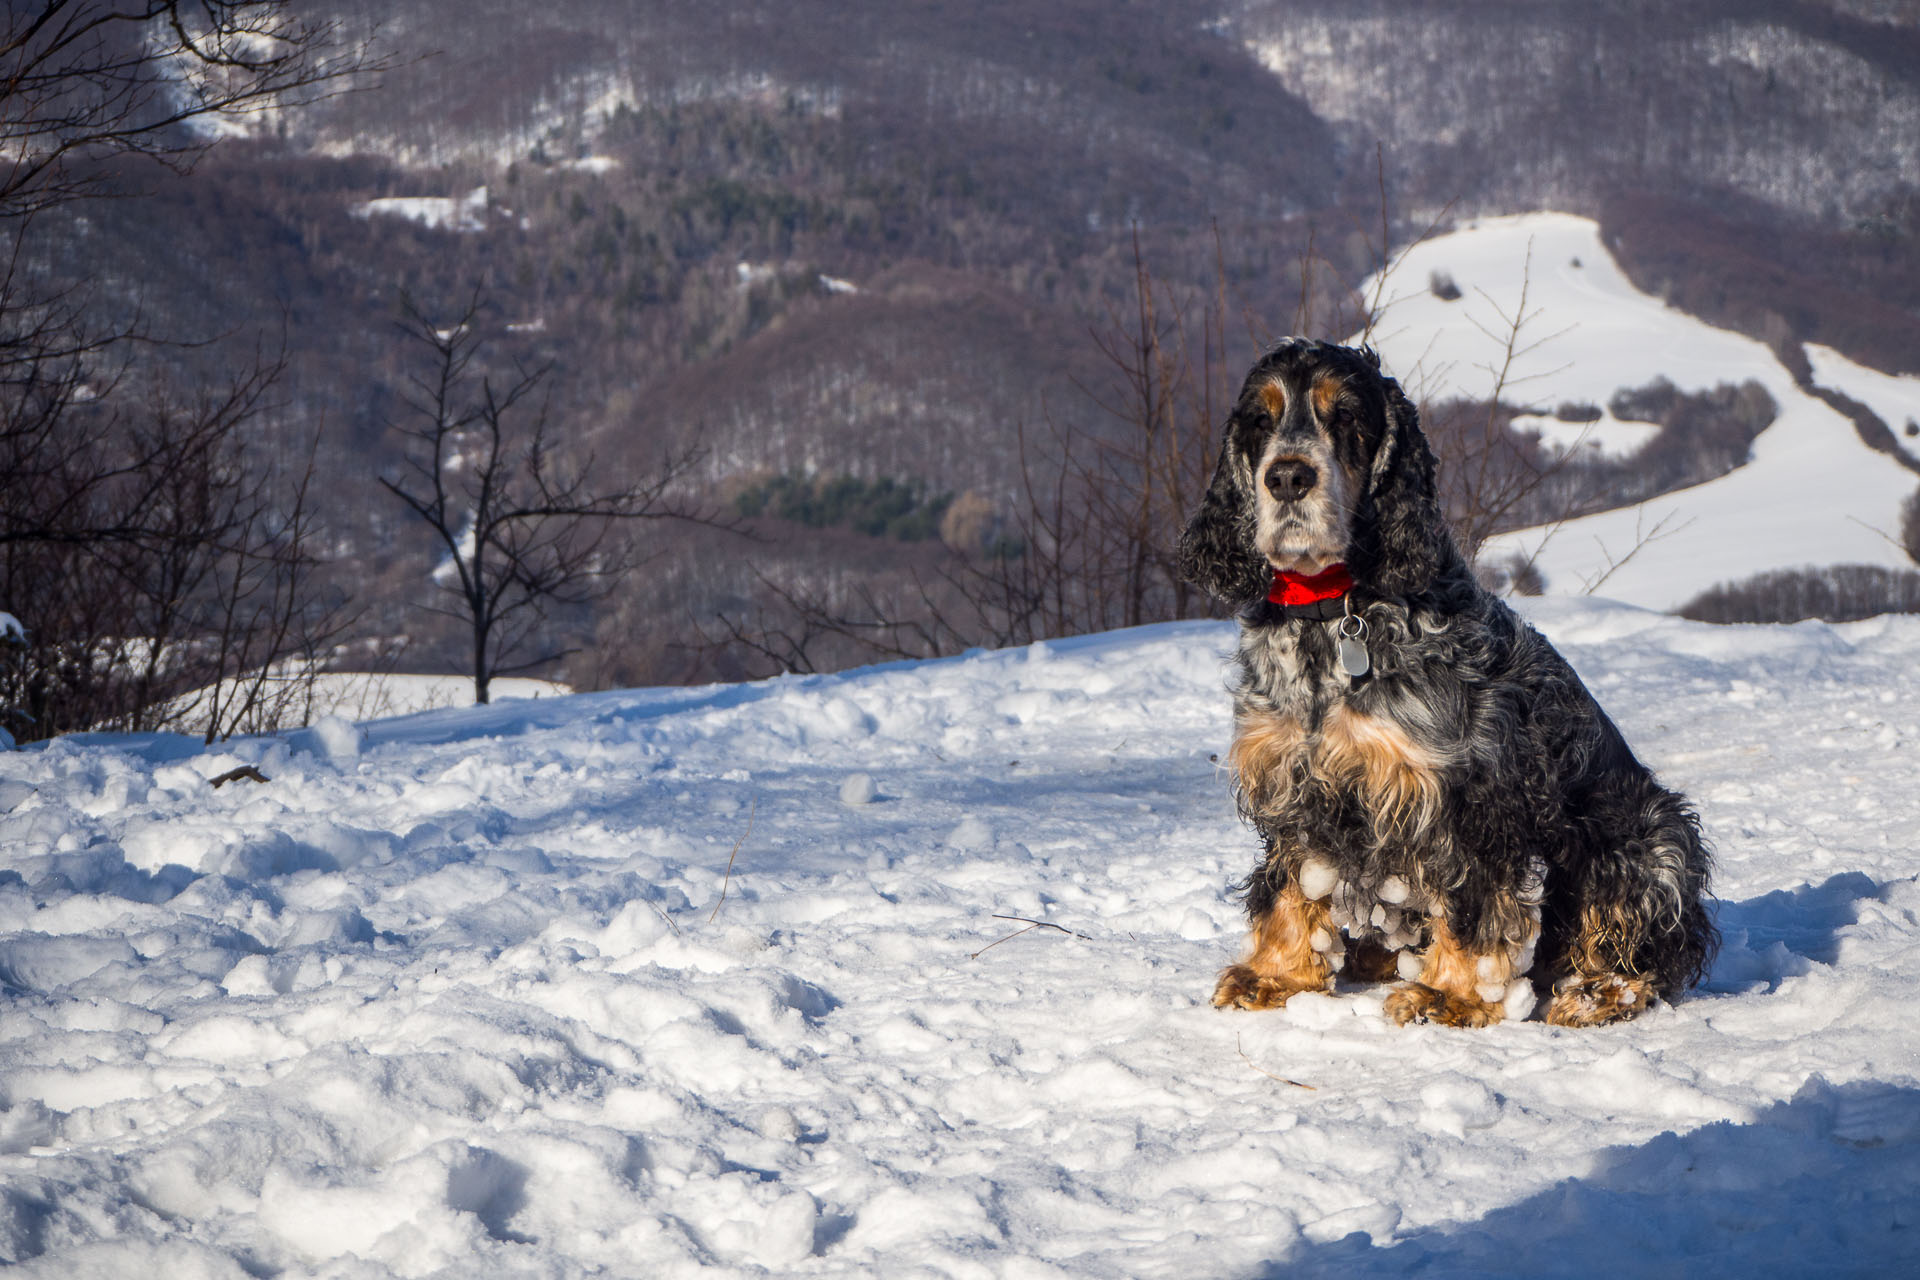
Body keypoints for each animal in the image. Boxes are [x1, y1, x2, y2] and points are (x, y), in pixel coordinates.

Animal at [1175, 339, 1720, 1028]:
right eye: (1259, 420)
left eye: (1346, 416)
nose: (1288, 476)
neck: (1331, 616)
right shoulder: (1294, 784)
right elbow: (1291, 885)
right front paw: (1275, 975)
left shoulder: (1466, 794)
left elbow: (1472, 900)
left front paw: (1453, 995)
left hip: (1651, 839)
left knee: (1647, 947)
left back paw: (1598, 991)